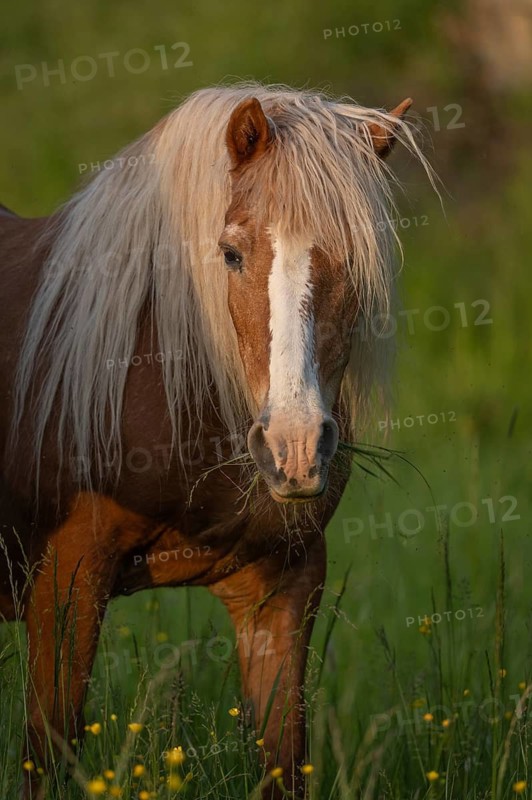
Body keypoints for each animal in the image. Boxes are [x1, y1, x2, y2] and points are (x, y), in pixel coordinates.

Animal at [0, 83, 430, 799]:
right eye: (230, 253)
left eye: (358, 260)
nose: (294, 448)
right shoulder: (65, 579)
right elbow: (49, 752)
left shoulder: (282, 585)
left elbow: (283, 760)